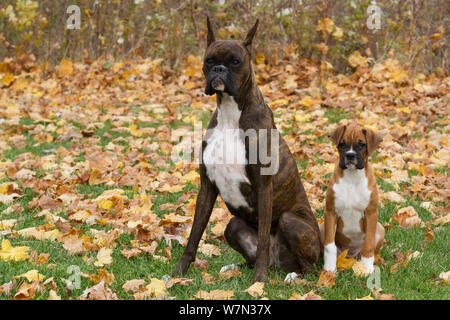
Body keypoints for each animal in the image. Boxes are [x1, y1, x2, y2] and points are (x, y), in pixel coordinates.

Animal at [171, 18, 320, 282]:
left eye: (235, 61)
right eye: (209, 60)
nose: (219, 70)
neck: (231, 113)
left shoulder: (263, 188)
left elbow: (262, 241)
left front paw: (259, 282)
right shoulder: (206, 186)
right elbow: (193, 236)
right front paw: (179, 273)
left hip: (291, 221)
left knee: (308, 268)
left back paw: (293, 277)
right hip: (233, 225)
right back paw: (238, 268)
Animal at [320, 122, 384, 272]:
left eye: (362, 145)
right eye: (342, 144)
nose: (350, 155)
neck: (352, 177)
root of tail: (350, 255)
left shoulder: (371, 214)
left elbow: (368, 244)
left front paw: (366, 269)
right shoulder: (330, 212)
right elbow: (329, 245)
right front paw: (329, 270)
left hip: (380, 229)